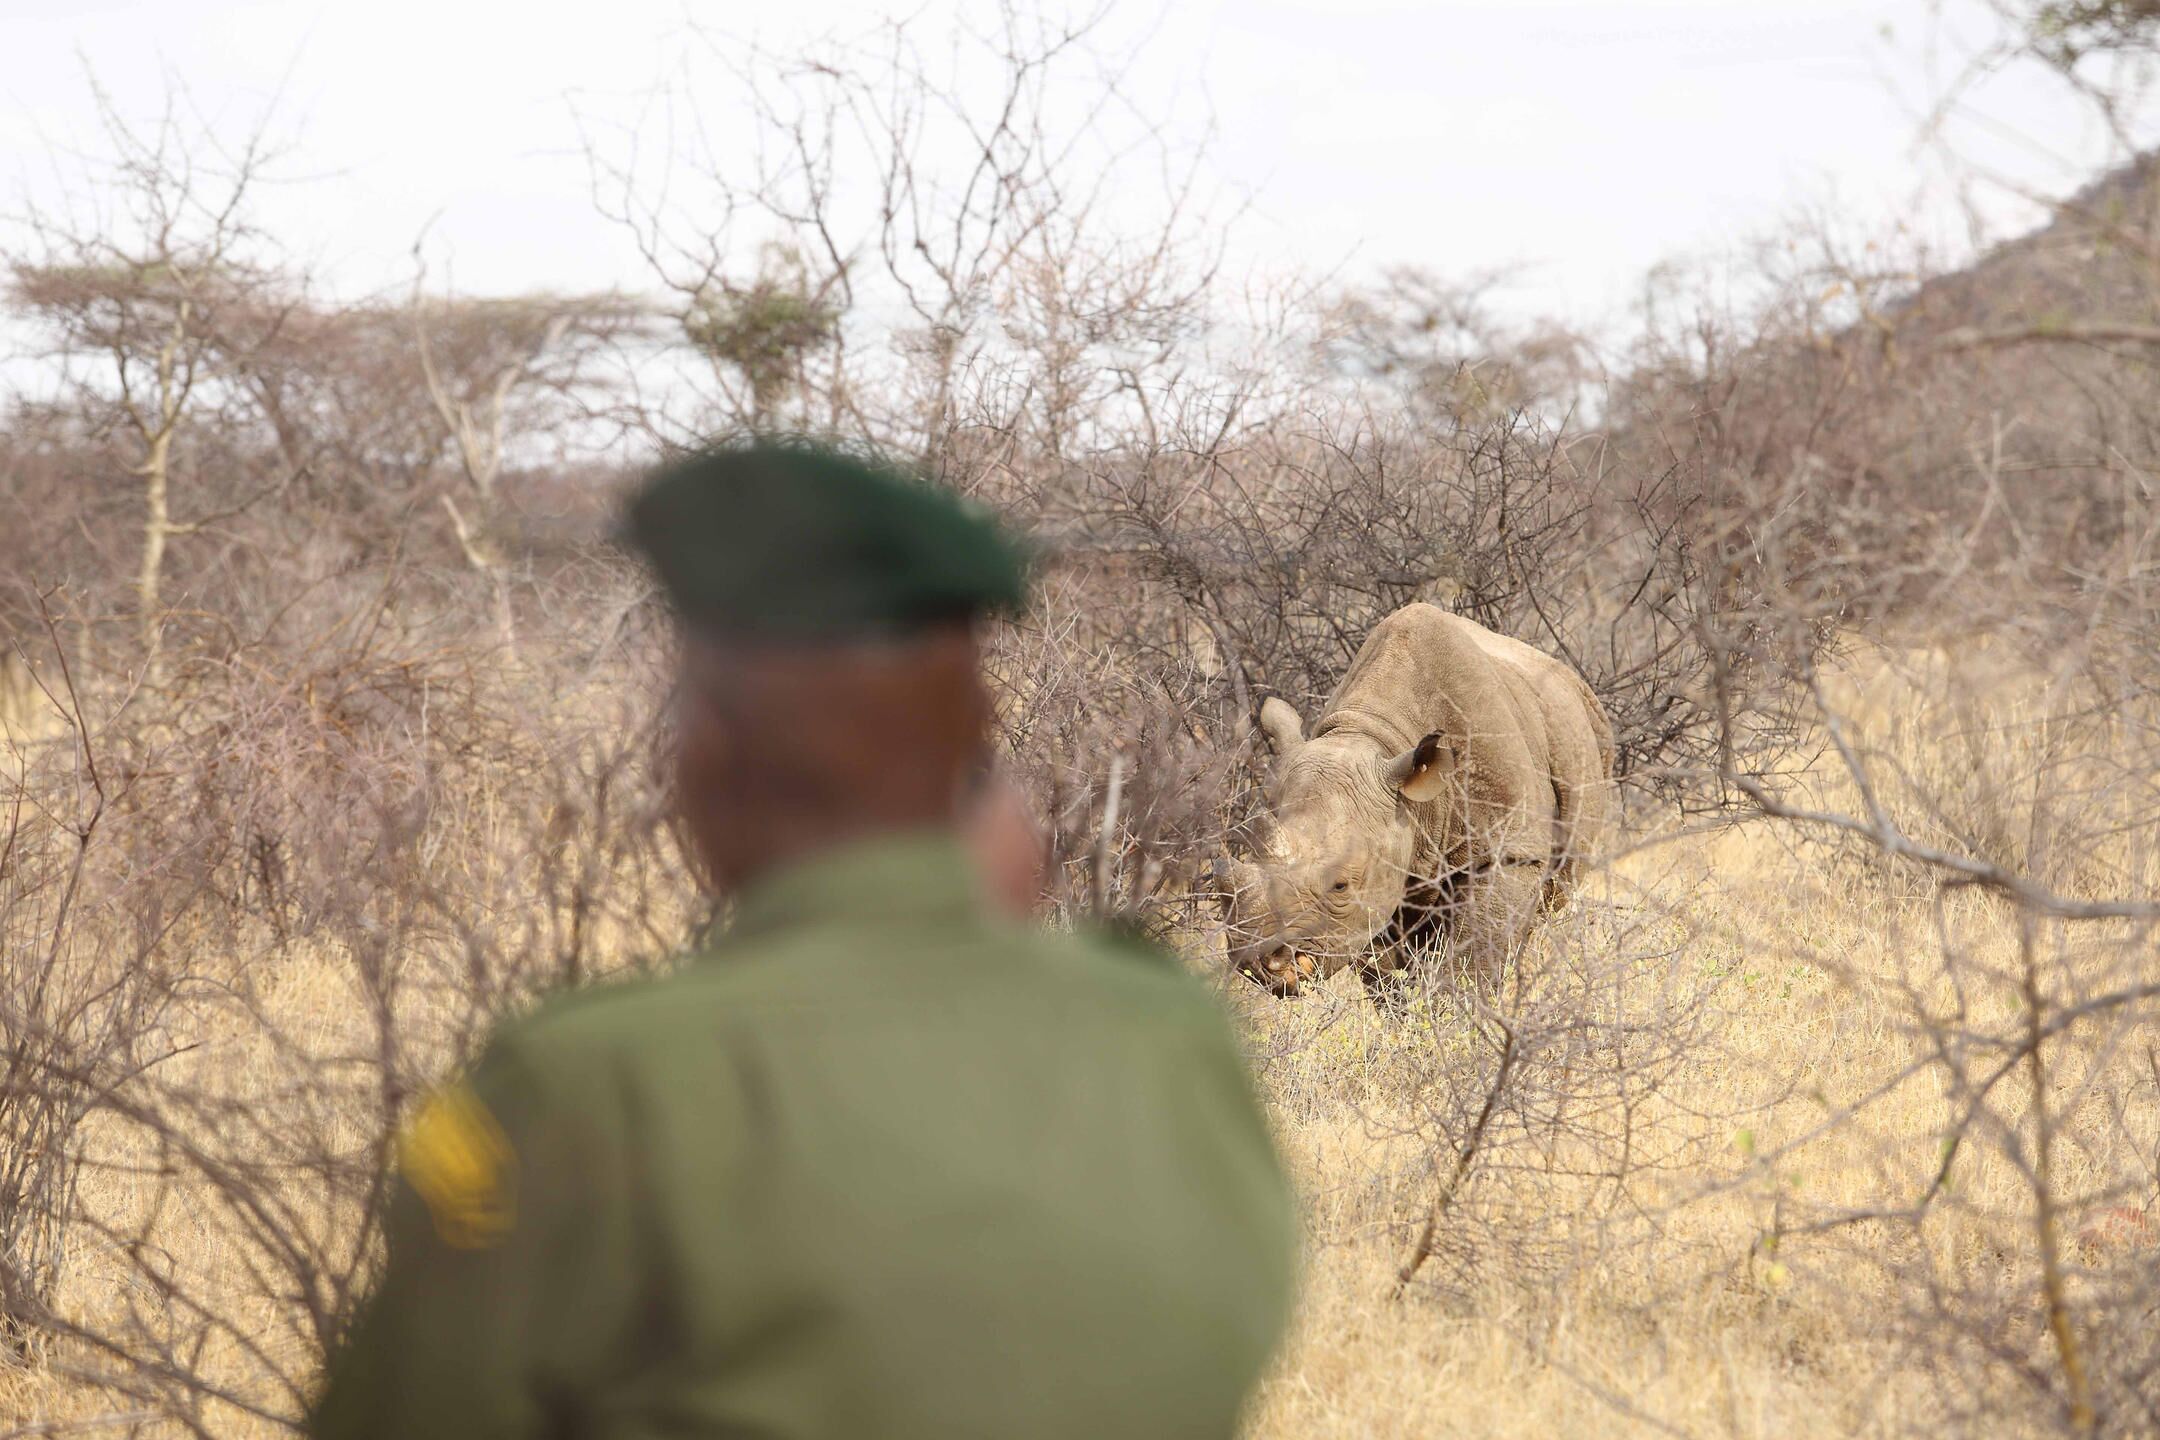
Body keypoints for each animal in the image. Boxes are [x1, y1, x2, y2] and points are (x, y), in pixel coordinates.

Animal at [1222, 604, 1614, 997]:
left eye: (1341, 886)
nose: (1259, 963)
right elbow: (1385, 973)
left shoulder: (1510, 851)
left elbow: (1476, 956)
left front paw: (1459, 1010)